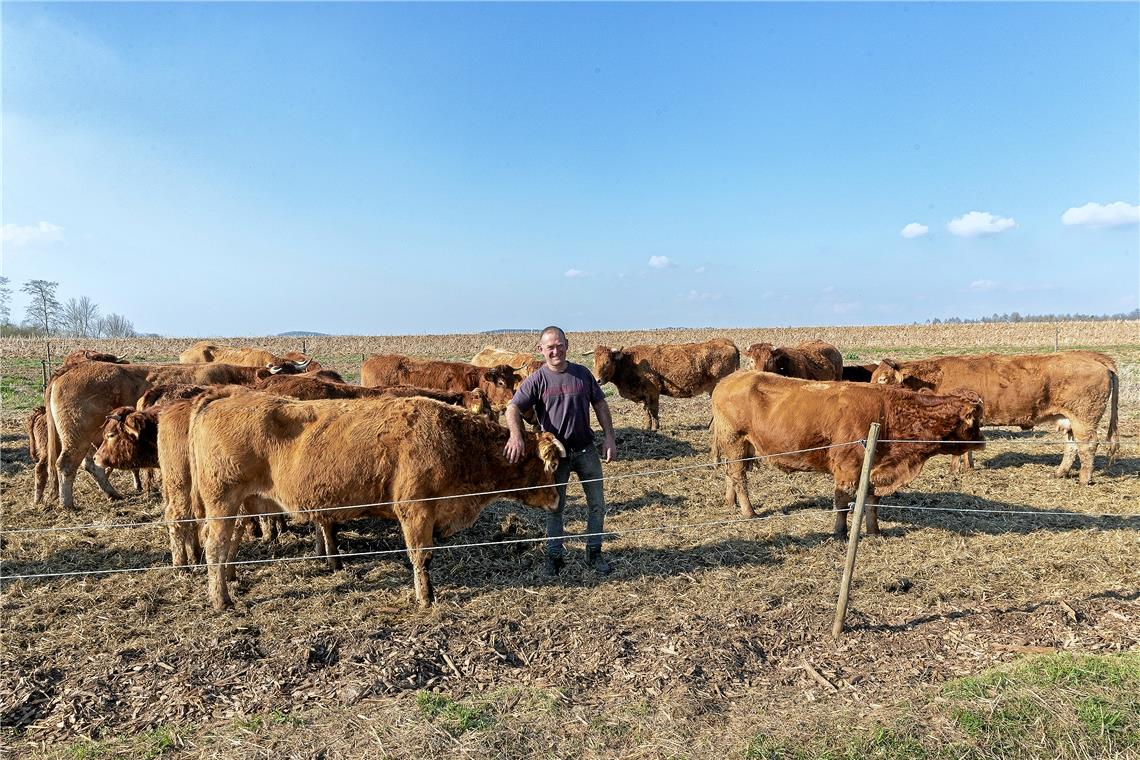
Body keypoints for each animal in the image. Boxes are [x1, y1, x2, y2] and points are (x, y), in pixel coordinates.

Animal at [190, 389, 565, 610]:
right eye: (551, 466)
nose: (556, 501)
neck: (453, 439)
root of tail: (216, 400)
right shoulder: (415, 510)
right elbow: (421, 556)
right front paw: (425, 598)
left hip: (239, 504)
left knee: (228, 543)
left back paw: (228, 584)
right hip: (222, 501)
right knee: (215, 546)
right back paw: (221, 601)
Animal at [592, 339, 743, 430]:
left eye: (607, 362)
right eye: (594, 361)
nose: (597, 380)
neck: (631, 362)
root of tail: (727, 342)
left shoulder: (652, 391)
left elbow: (654, 410)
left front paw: (655, 428)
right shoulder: (643, 394)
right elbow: (646, 411)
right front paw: (647, 427)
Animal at [706, 371, 984, 537]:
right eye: (974, 422)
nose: (982, 441)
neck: (889, 412)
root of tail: (730, 379)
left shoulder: (873, 467)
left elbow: (871, 501)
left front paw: (874, 531)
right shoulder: (848, 467)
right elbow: (842, 502)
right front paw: (839, 532)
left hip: (738, 447)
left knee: (731, 475)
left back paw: (731, 502)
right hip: (735, 442)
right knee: (739, 477)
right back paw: (749, 511)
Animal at [870, 348, 1121, 480]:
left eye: (882, 379)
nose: (869, 391)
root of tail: (1089, 355)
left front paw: (954, 470)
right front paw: (968, 466)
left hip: (1084, 418)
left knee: (1088, 446)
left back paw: (1084, 479)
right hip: (1069, 420)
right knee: (1071, 447)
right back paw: (1060, 473)